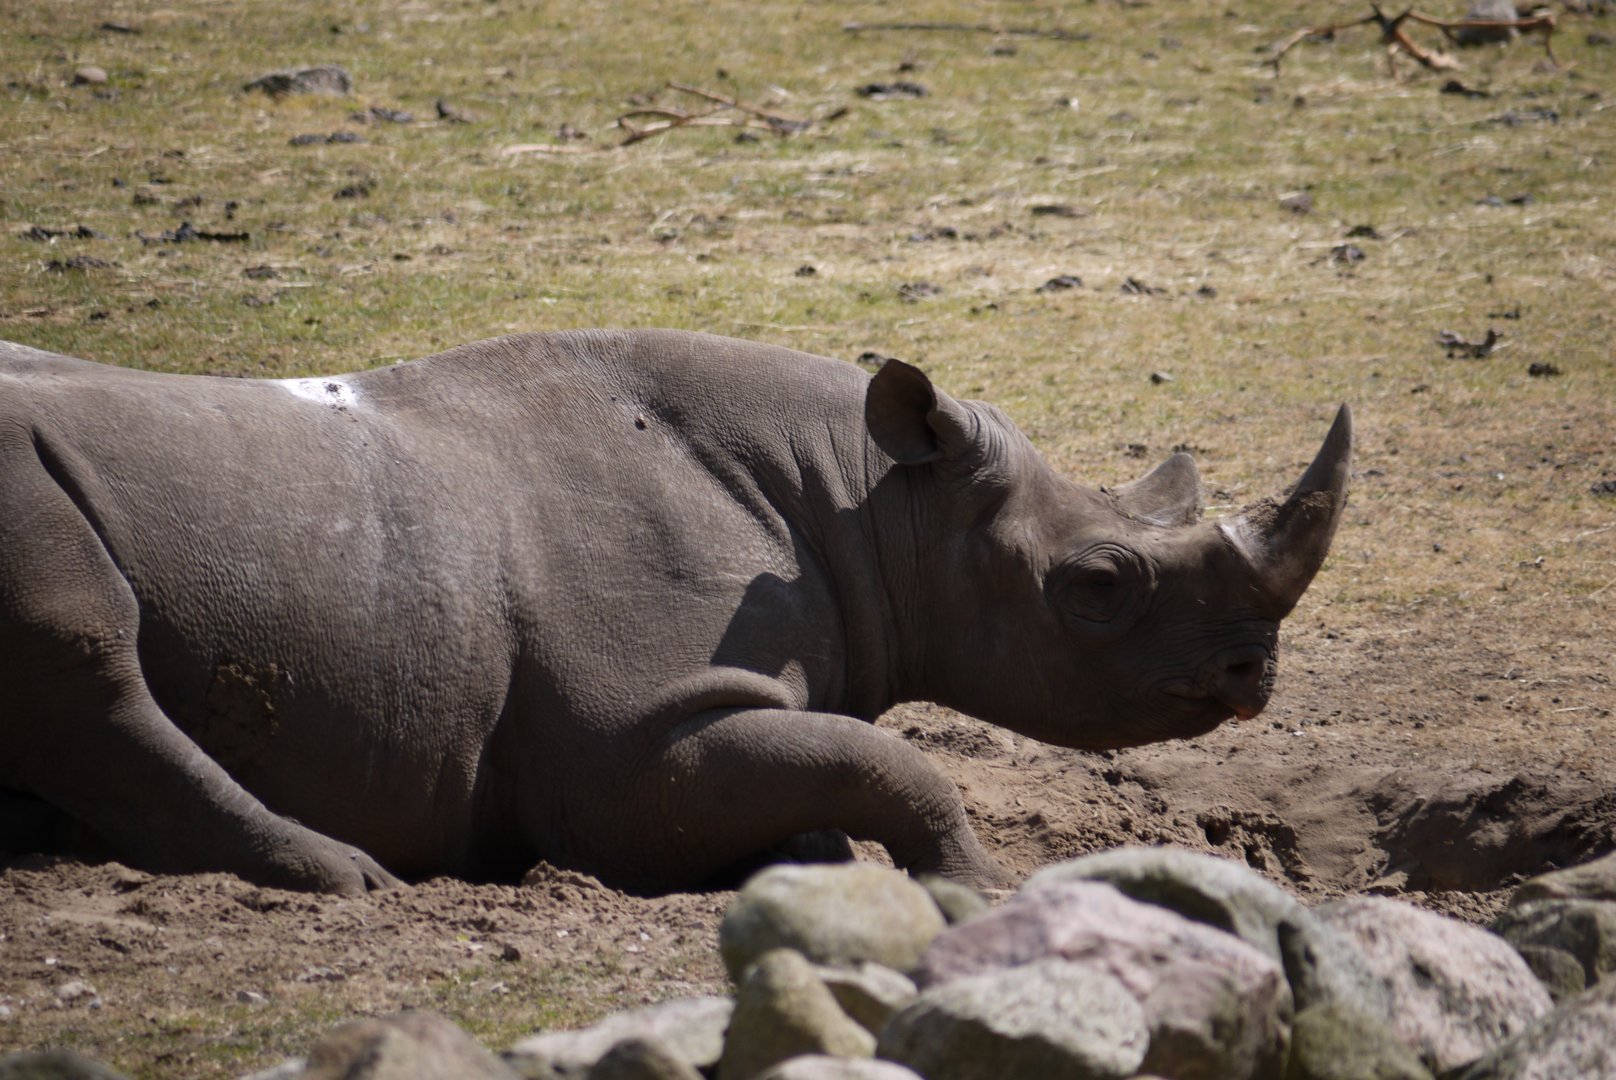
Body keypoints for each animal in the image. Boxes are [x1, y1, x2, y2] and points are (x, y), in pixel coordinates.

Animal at [0, 330, 1350, 894]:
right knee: (82, 641)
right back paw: (346, 879)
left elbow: (838, 766)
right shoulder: (637, 733)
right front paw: (975, 884)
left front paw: (805, 860)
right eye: (1098, 587)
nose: (1252, 673)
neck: (870, 501)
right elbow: (894, 765)